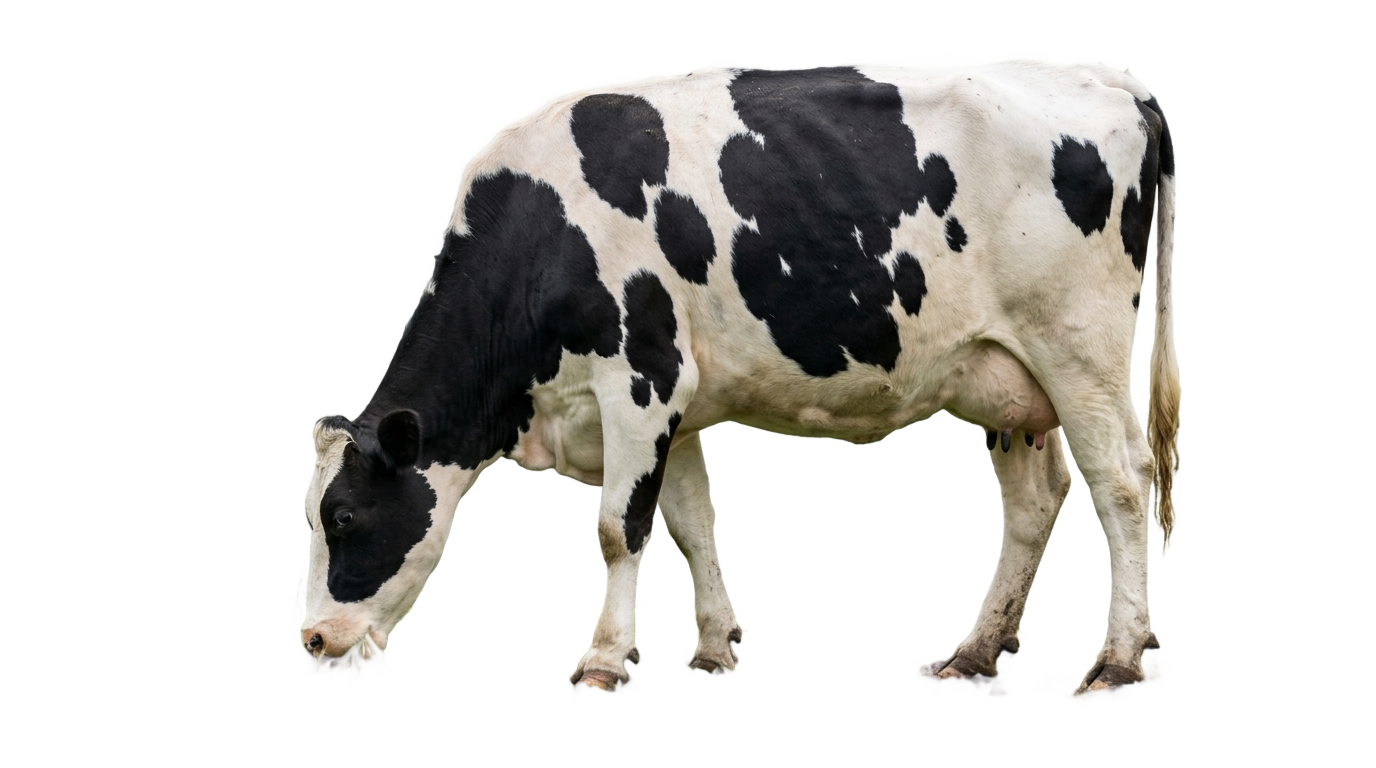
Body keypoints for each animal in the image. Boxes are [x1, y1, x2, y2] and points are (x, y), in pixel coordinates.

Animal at [296, 61, 1179, 697]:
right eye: (309, 521)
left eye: (343, 516)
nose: (310, 639)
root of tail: (1115, 87)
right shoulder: (674, 405)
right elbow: (691, 524)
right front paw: (716, 647)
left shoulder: (642, 379)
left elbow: (616, 528)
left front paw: (604, 660)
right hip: (1008, 379)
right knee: (1035, 503)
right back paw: (976, 651)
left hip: (1080, 347)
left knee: (1122, 485)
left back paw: (1120, 658)